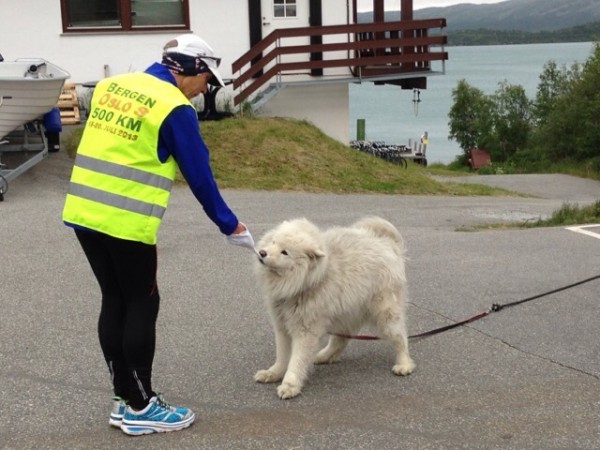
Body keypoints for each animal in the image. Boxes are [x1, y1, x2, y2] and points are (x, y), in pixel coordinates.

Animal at [252, 216, 412, 400]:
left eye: (285, 252)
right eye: (273, 241)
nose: (262, 253)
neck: (306, 281)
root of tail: (388, 244)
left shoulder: (305, 331)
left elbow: (296, 360)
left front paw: (290, 385)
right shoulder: (282, 326)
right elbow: (283, 355)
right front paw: (273, 373)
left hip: (384, 312)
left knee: (400, 337)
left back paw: (404, 364)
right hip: (345, 312)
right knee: (341, 340)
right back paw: (324, 356)